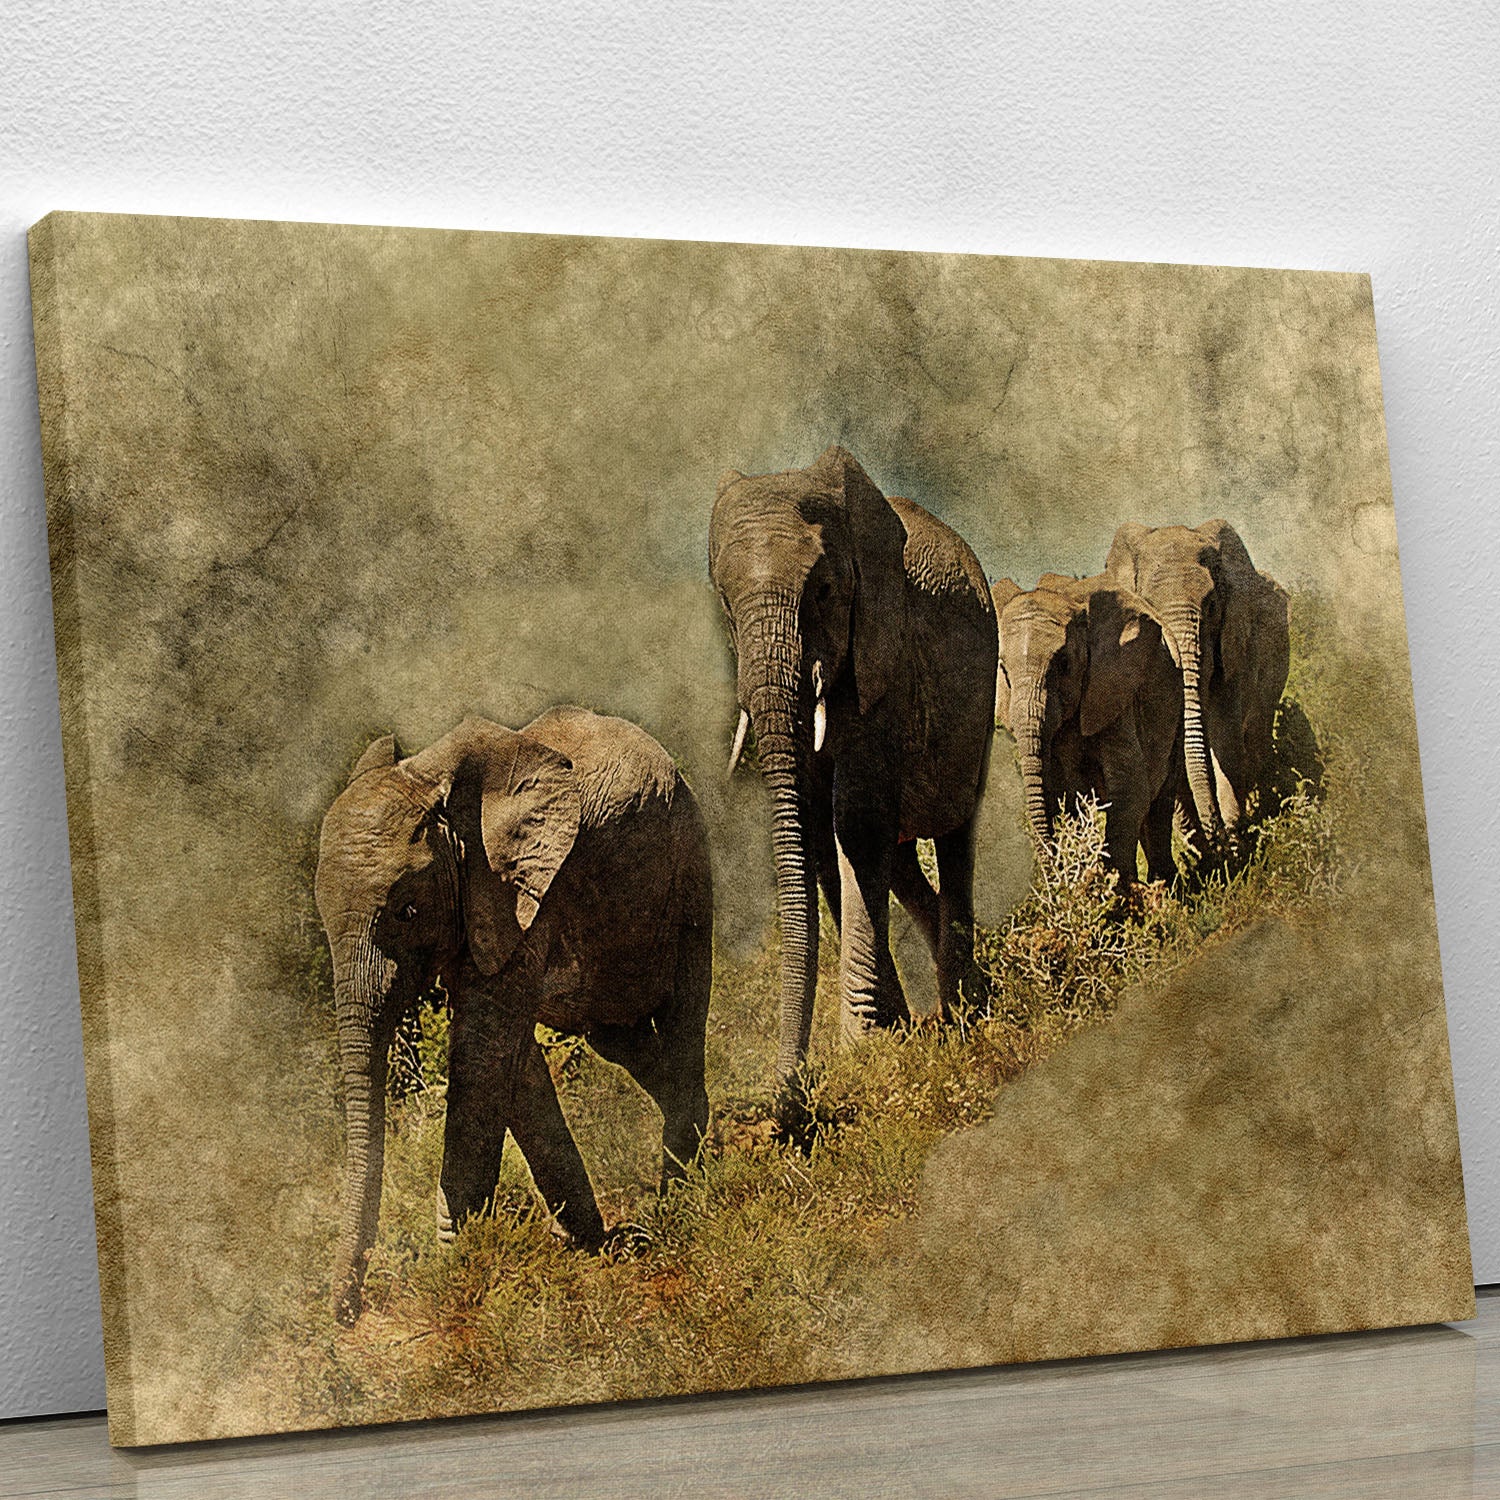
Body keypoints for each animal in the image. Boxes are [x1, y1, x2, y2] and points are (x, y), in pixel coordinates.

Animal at [315, 707, 713, 1325]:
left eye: (408, 910)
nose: (344, 1311)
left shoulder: (524, 896)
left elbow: (483, 1059)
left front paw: (457, 1271)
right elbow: (515, 1065)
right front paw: (584, 1244)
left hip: (687, 868)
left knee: (684, 1014)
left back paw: (679, 1200)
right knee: (623, 1042)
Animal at [708, 445, 997, 1117]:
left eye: (824, 591)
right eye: (726, 605)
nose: (785, 1101)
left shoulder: (883, 657)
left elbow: (855, 822)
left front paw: (867, 1043)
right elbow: (816, 836)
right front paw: (891, 1034)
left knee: (954, 835)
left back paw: (966, 1007)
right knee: (900, 861)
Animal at [993, 573, 1183, 889]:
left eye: (1064, 664)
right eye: (1004, 672)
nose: (1054, 880)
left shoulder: (1112, 689)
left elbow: (1132, 787)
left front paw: (1115, 891)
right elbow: (1060, 792)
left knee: (1158, 803)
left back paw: (1163, 887)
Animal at [1104, 521, 1290, 842]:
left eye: (1212, 606)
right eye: (1148, 608)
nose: (1216, 830)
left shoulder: (1235, 643)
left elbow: (1226, 737)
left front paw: (1234, 834)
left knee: (1256, 736)